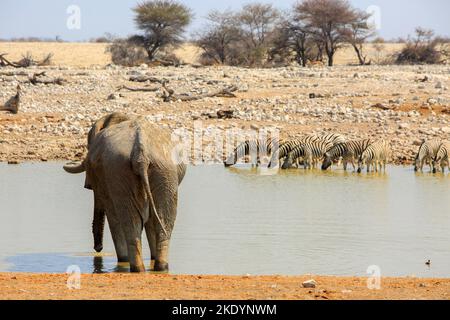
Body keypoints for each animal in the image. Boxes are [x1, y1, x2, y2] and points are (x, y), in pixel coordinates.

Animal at [63, 114, 186, 272]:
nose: (98, 248)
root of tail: (141, 154)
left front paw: (123, 259)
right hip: (161, 170)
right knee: (160, 219)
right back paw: (157, 268)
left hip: (129, 170)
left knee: (127, 219)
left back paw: (133, 265)